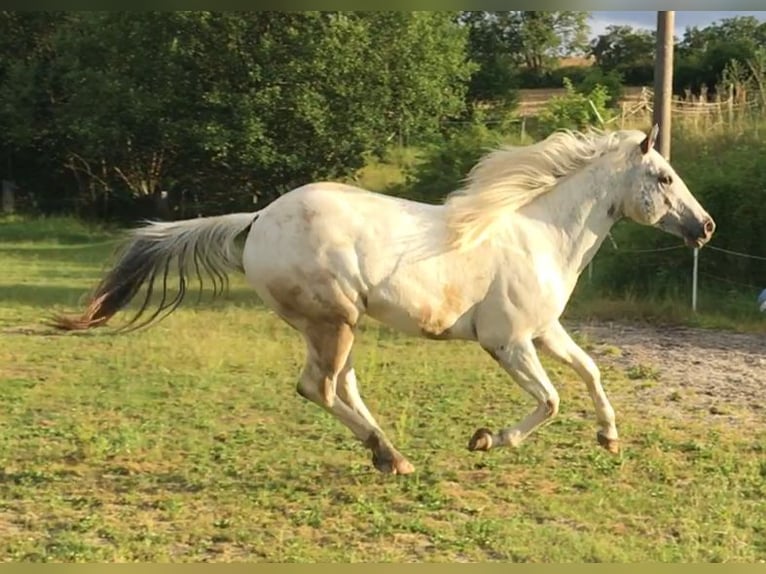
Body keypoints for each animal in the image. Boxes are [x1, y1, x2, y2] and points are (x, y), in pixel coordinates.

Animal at [55, 126, 720, 476]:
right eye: (663, 177)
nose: (706, 227)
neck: (540, 234)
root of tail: (259, 218)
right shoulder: (507, 343)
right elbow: (552, 400)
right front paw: (487, 439)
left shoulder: (543, 331)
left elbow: (590, 372)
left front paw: (609, 438)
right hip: (332, 321)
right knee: (319, 388)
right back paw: (388, 456)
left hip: (339, 326)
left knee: (341, 387)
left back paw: (391, 456)